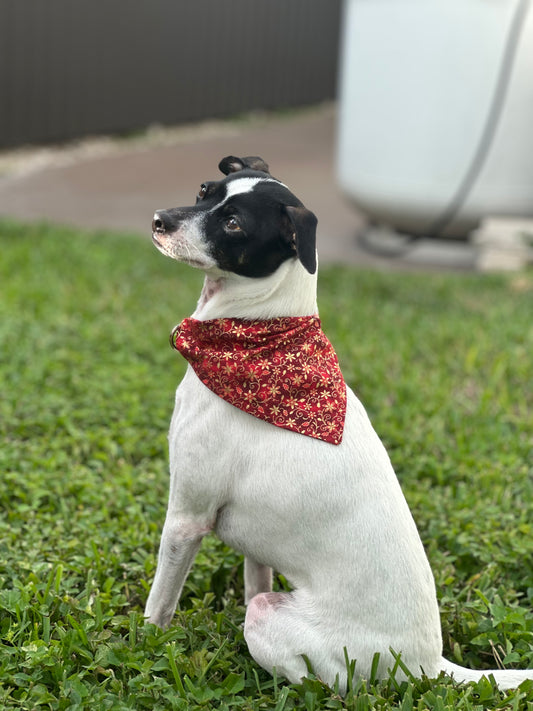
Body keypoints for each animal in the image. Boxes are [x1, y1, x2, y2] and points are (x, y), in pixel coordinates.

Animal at [143, 154, 528, 688]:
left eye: (234, 223)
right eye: (204, 191)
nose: (159, 220)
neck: (256, 333)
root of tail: (429, 665)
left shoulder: (186, 517)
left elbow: (160, 601)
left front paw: (141, 645)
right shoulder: (250, 543)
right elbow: (254, 573)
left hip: (272, 622)